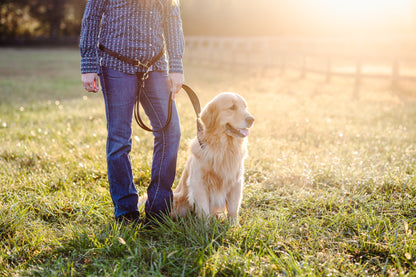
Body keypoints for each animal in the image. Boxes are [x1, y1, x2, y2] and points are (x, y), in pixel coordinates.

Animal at [172, 91, 254, 223]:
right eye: (232, 107)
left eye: (245, 107)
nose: (252, 119)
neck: (223, 148)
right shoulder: (199, 184)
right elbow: (204, 210)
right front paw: (205, 227)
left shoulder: (236, 182)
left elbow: (233, 209)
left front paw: (234, 226)